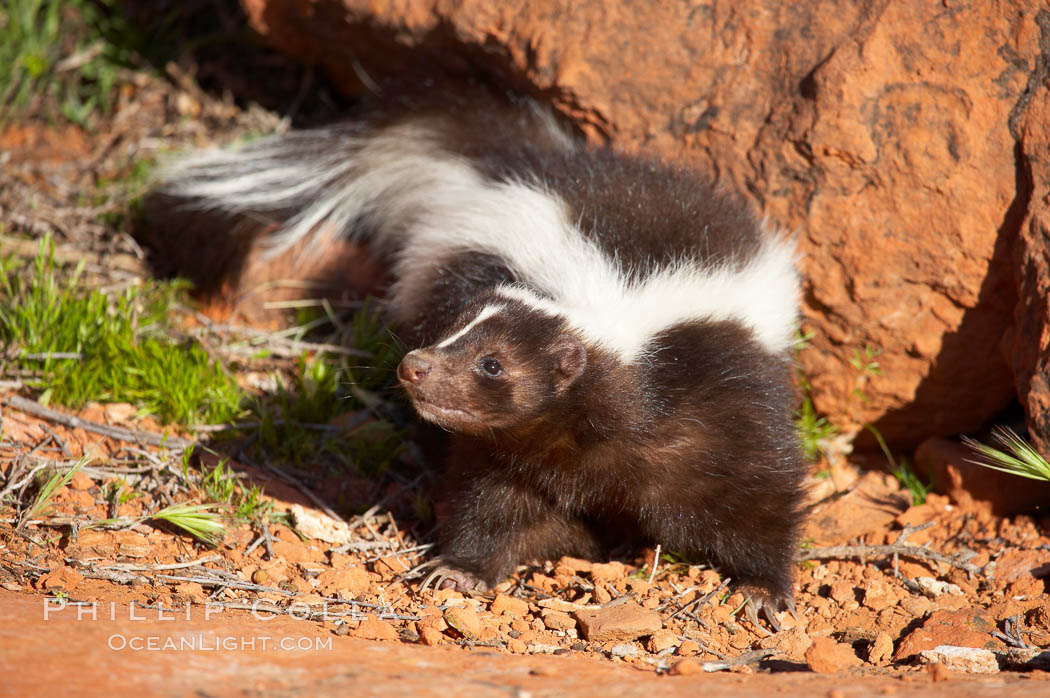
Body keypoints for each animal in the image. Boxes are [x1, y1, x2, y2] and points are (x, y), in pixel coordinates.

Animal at [150, 85, 802, 625]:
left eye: (493, 364)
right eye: (449, 333)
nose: (414, 366)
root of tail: (529, 161)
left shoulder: (719, 401)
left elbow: (758, 494)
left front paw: (763, 591)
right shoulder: (512, 447)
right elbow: (493, 504)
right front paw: (459, 570)